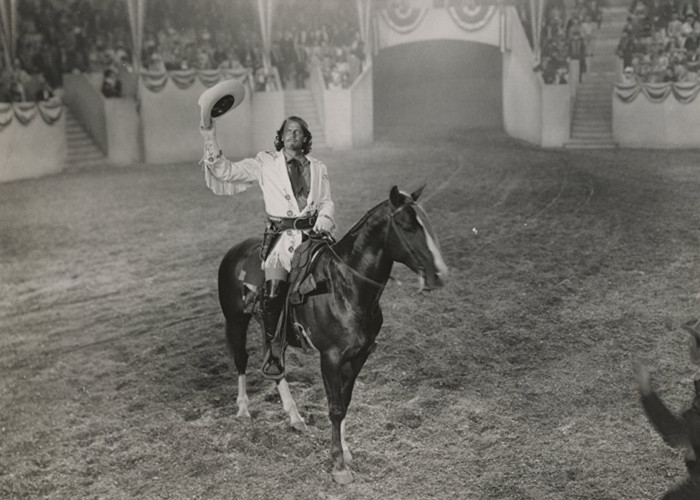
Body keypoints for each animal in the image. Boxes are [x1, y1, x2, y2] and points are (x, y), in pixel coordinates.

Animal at [219, 186, 448, 482]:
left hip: (269, 331)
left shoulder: (359, 355)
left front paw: (344, 450)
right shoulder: (330, 358)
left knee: (275, 364)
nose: (439, 274)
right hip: (236, 321)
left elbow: (345, 402)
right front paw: (339, 465)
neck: (345, 287)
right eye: (408, 227)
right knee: (240, 359)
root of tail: (234, 251)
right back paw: (243, 409)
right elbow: (335, 407)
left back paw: (294, 417)